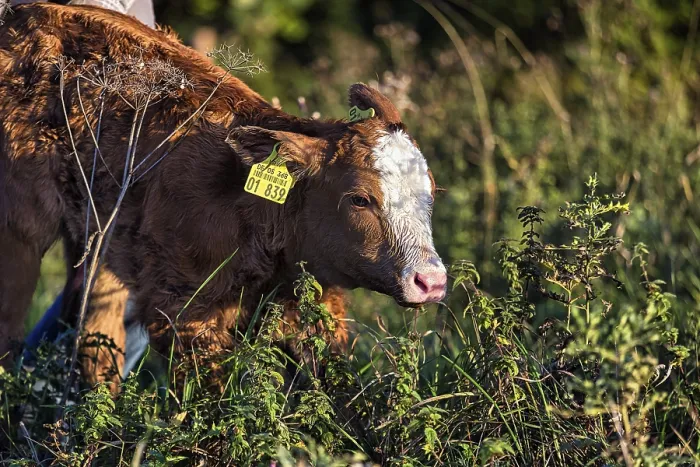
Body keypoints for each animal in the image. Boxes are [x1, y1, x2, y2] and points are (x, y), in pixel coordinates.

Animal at [0, 3, 446, 385]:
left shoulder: (317, 309)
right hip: (19, 237)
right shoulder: (183, 313)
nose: (432, 282)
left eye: (431, 193)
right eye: (359, 199)